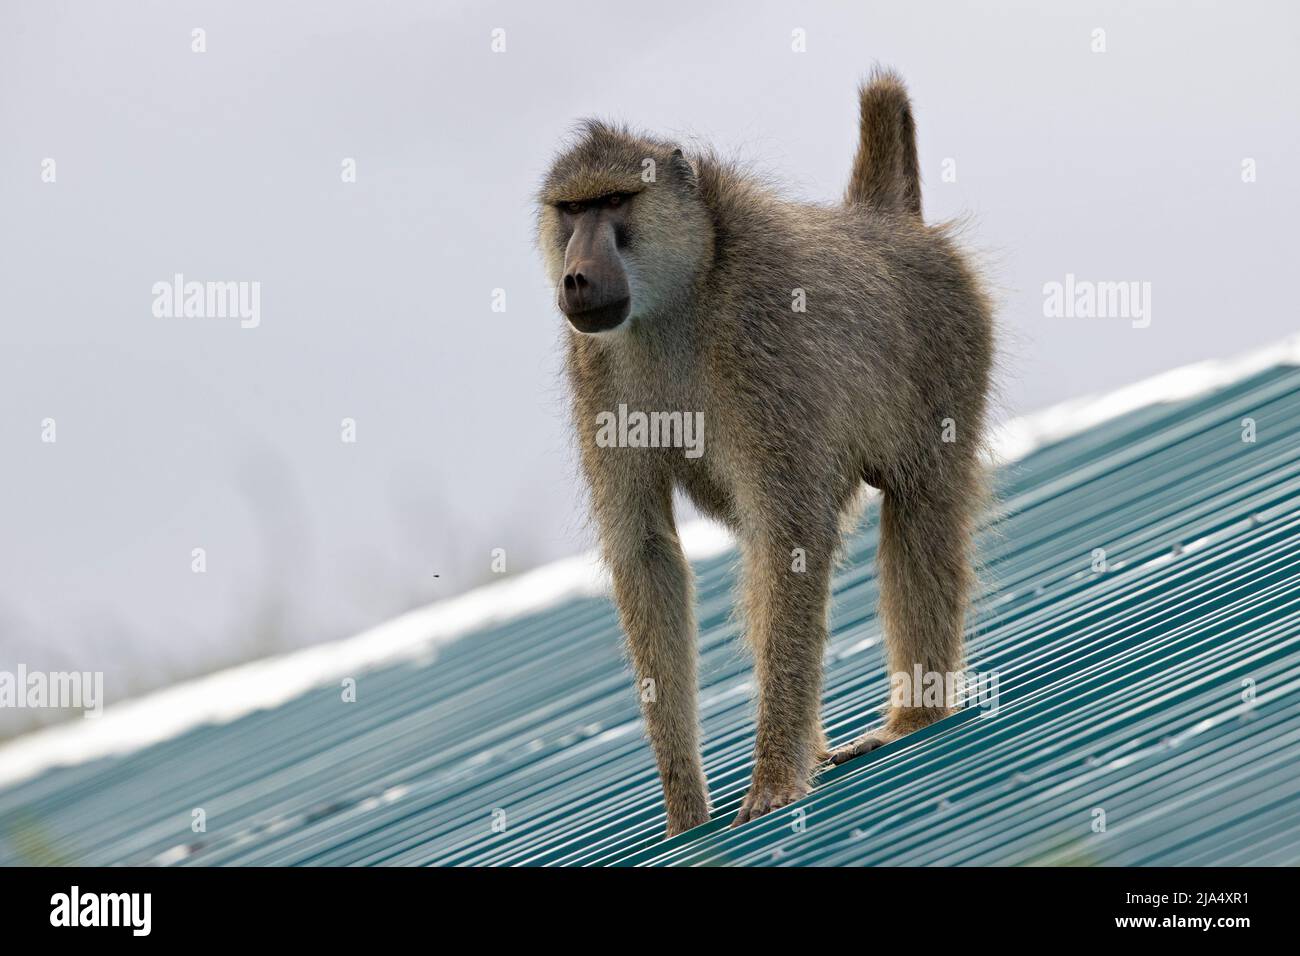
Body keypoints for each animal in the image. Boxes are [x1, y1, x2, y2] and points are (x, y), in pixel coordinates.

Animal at [536, 68, 993, 836]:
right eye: (571, 210)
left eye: (615, 202)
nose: (575, 275)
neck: (679, 298)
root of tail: (885, 225)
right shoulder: (596, 366)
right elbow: (647, 553)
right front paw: (686, 811)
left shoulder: (762, 331)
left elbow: (793, 537)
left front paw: (775, 780)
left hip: (952, 347)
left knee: (919, 511)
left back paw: (913, 719)